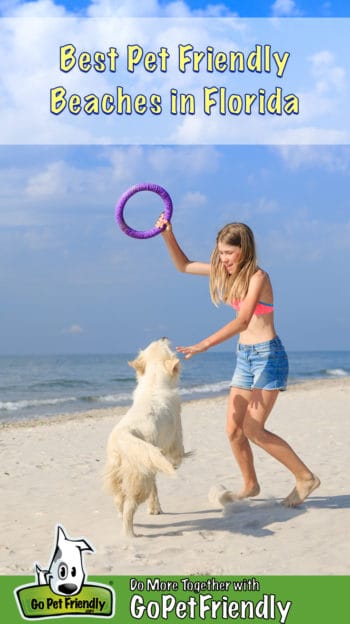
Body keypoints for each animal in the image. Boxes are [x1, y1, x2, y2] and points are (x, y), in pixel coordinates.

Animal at [104, 336, 187, 536]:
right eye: (165, 345)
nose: (163, 336)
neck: (153, 384)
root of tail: (124, 436)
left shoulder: (151, 460)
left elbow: (155, 488)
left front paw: (155, 509)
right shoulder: (176, 441)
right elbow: (176, 457)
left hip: (119, 474)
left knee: (119, 501)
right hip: (139, 480)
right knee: (129, 507)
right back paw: (130, 535)